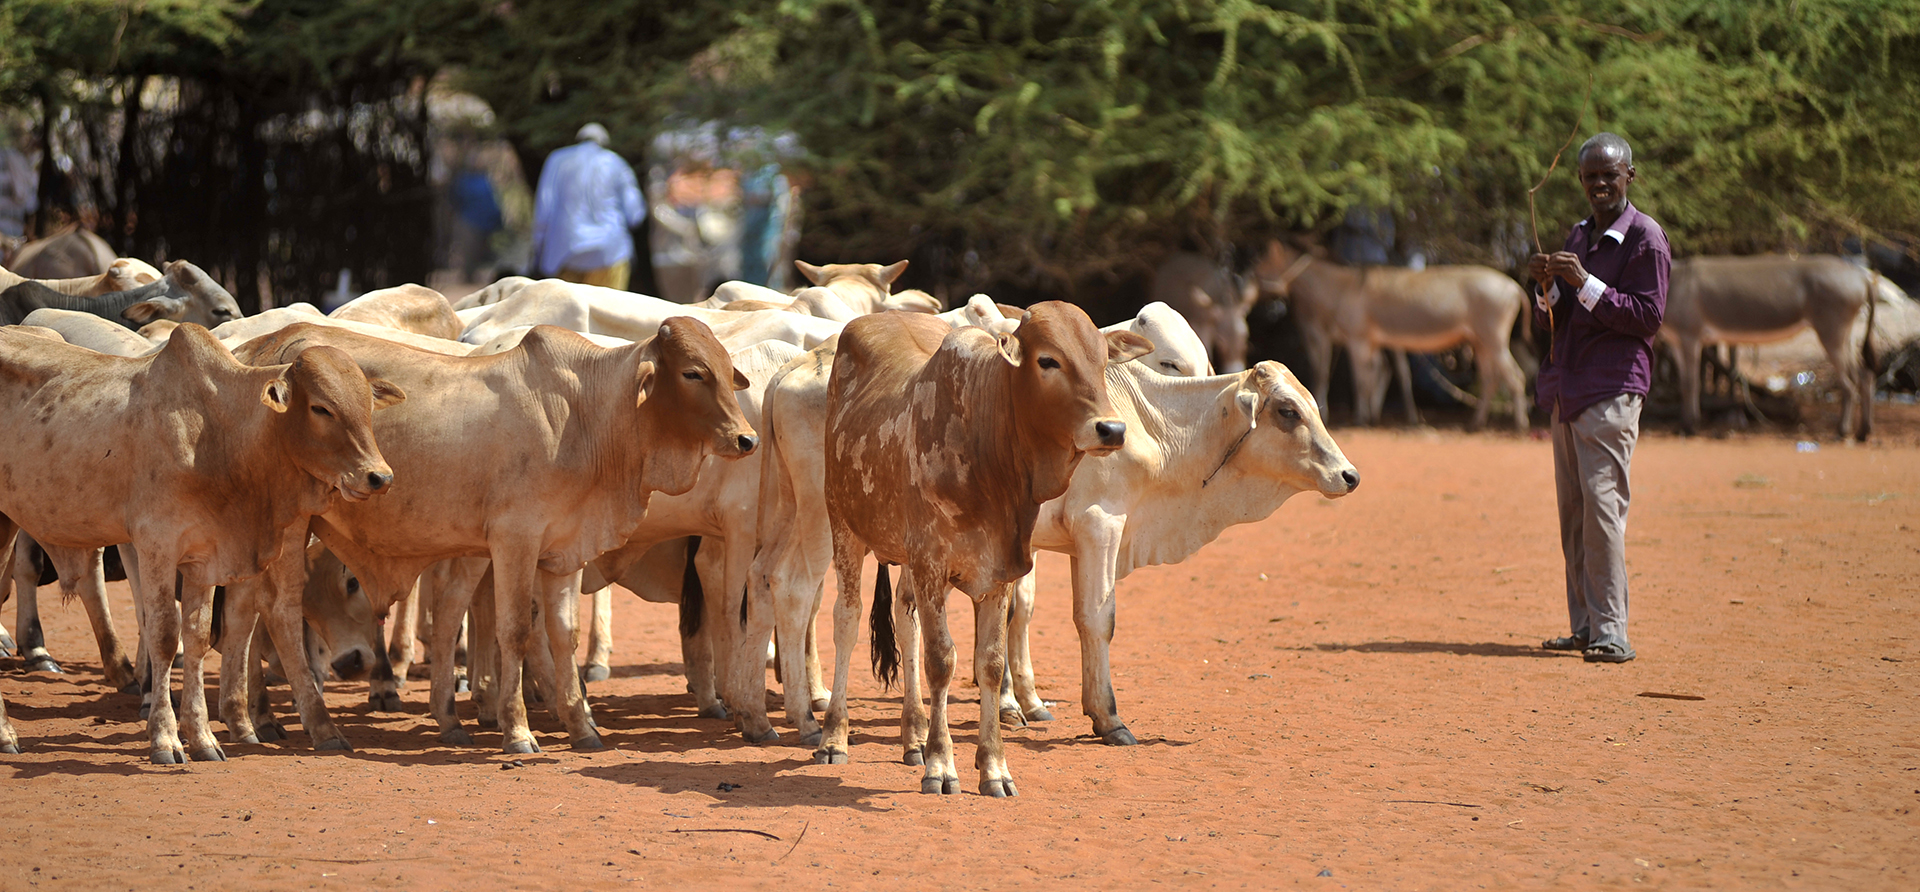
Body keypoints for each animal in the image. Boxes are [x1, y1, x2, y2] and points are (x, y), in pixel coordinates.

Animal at [0, 324, 397, 759]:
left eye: (368, 405)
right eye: (321, 408)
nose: (379, 477)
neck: (216, 432)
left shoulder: (205, 558)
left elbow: (198, 635)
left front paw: (203, 737)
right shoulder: (155, 545)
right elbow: (163, 635)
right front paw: (165, 737)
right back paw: (6, 730)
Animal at [230, 320, 756, 751]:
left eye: (726, 368)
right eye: (693, 373)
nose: (746, 439)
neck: (584, 414)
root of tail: (259, 348)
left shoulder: (564, 550)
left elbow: (563, 632)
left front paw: (582, 728)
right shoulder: (514, 540)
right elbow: (515, 631)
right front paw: (518, 730)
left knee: (244, 611)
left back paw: (255, 720)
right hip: (289, 525)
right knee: (278, 612)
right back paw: (316, 727)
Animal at [817, 301, 1144, 794]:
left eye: (1104, 360)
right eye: (1048, 360)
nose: (1111, 429)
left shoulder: (999, 571)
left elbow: (989, 663)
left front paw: (993, 768)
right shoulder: (931, 563)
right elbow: (941, 660)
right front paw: (941, 765)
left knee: (905, 619)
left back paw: (913, 737)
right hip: (844, 527)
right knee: (846, 620)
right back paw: (835, 736)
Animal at [1259, 237, 1528, 429]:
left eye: (1263, 261)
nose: (1253, 277)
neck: (1344, 286)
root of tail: (1514, 286)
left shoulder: (1357, 340)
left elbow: (1362, 380)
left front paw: (1361, 419)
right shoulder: (1370, 342)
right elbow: (1374, 376)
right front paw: (1371, 417)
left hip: (1493, 339)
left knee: (1515, 377)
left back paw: (1520, 426)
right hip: (1480, 341)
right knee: (1491, 379)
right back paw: (1475, 423)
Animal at [1666, 253, 1873, 437]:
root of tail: (1861, 276)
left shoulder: (1690, 337)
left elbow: (1692, 383)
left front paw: (1690, 428)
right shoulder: (1676, 341)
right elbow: (1683, 384)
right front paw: (1684, 425)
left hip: (1831, 331)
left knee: (1849, 383)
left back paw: (1842, 431)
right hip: (1845, 335)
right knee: (1863, 375)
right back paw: (1863, 432)